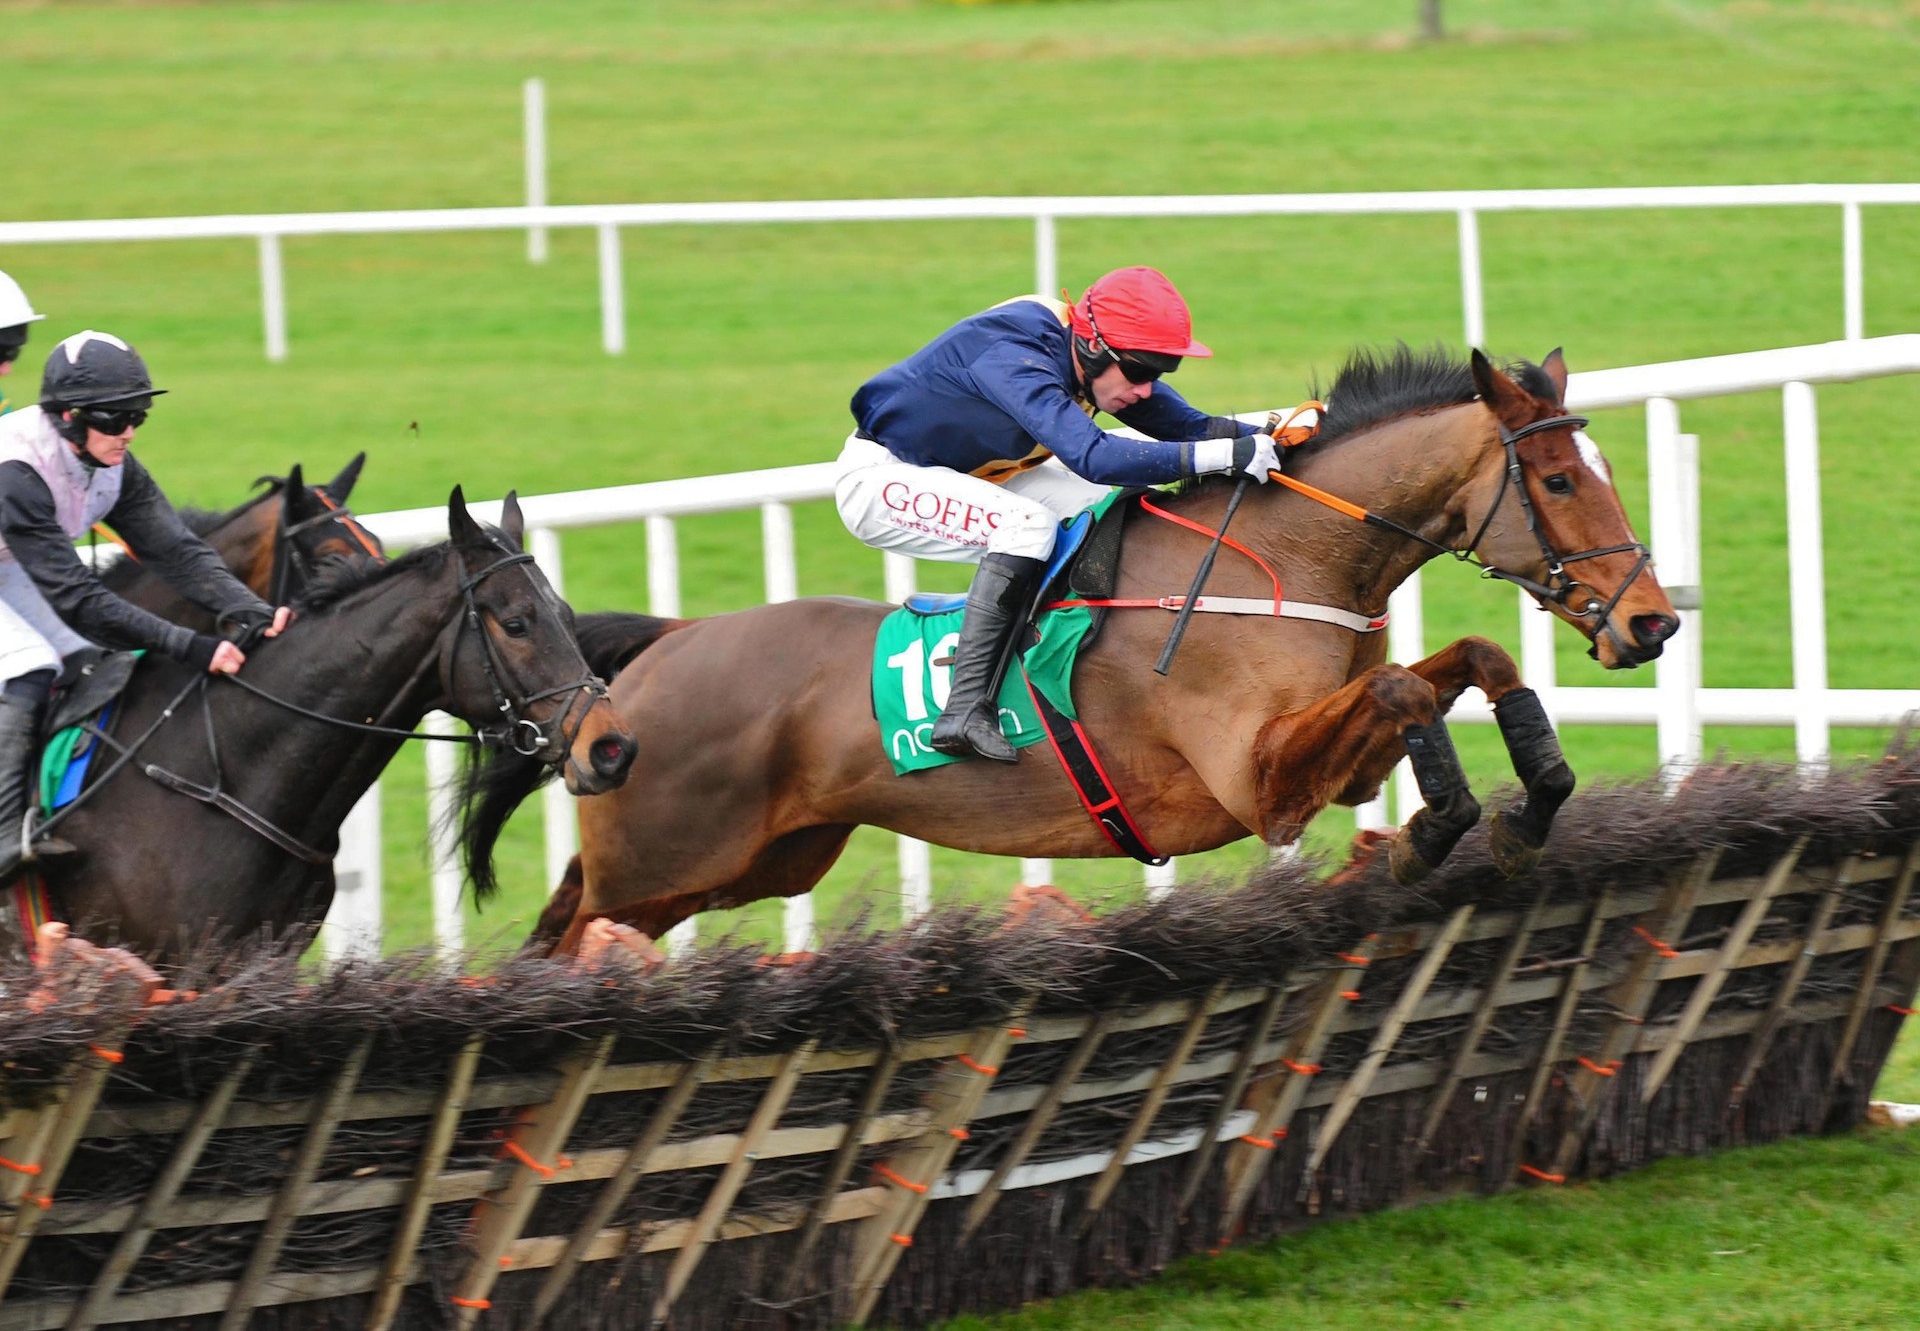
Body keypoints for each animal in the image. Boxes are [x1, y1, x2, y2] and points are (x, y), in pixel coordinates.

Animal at [464, 341, 1681, 948]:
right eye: (1558, 479)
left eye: (1604, 468)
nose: (1651, 620)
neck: (1283, 561)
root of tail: (657, 654)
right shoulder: (1258, 781)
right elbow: (1403, 693)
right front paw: (1435, 830)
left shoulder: (1323, 759)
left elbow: (1474, 660)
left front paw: (1529, 805)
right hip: (659, 860)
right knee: (572, 930)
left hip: (750, 862)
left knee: (568, 918)